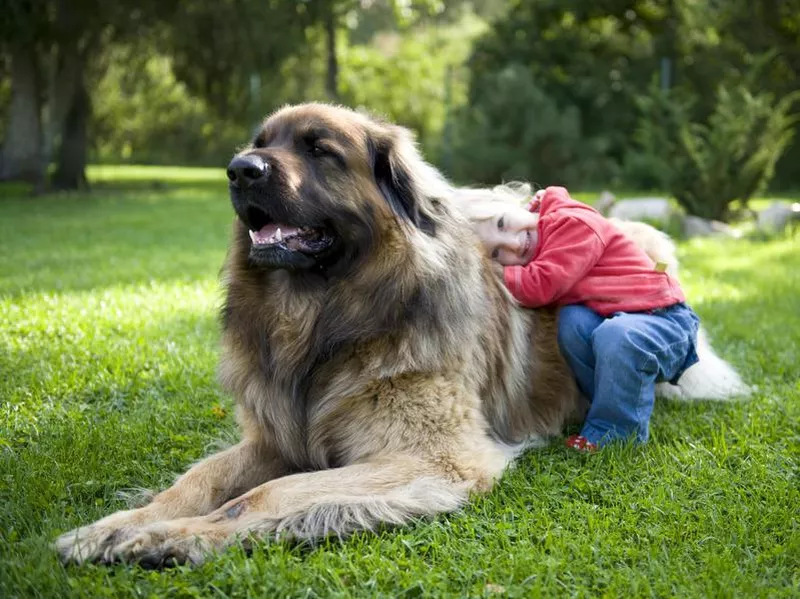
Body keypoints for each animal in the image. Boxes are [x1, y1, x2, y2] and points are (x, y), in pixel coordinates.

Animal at [54, 103, 744, 568]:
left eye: (320, 150)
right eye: (259, 144)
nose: (238, 170)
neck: (323, 321)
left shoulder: (429, 458)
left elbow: (269, 495)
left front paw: (174, 539)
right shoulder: (277, 434)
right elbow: (195, 482)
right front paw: (117, 526)